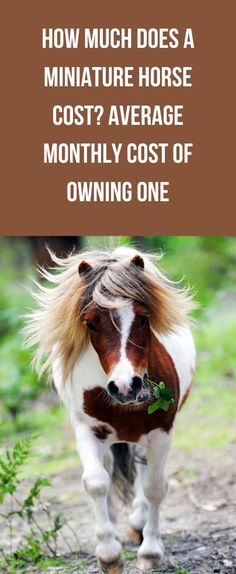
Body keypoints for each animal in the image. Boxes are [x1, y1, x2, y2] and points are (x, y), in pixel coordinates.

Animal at [24, 249, 196, 574]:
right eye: (90, 323)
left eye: (144, 317)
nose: (126, 386)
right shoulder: (88, 430)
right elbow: (95, 482)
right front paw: (108, 554)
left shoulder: (161, 432)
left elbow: (155, 487)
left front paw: (150, 551)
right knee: (107, 469)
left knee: (142, 471)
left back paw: (138, 524)